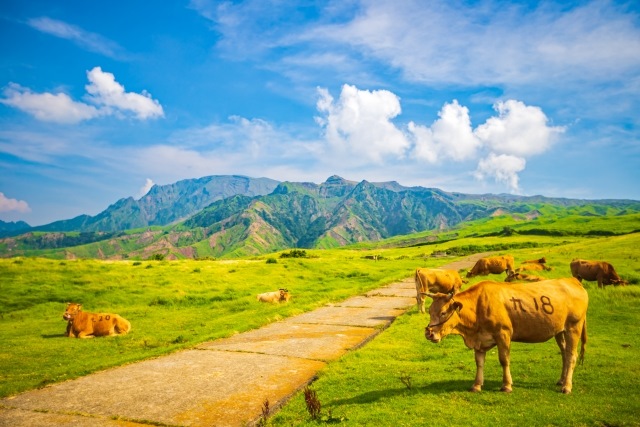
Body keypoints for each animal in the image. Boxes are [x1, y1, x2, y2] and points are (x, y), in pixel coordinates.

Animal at [424, 280, 592, 396]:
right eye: (430, 311)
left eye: (443, 312)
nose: (429, 333)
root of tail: (571, 280)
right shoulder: (480, 340)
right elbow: (479, 363)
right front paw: (476, 385)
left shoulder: (503, 333)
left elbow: (504, 360)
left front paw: (506, 385)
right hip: (559, 331)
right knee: (564, 354)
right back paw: (561, 380)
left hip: (574, 327)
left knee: (572, 355)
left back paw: (567, 386)